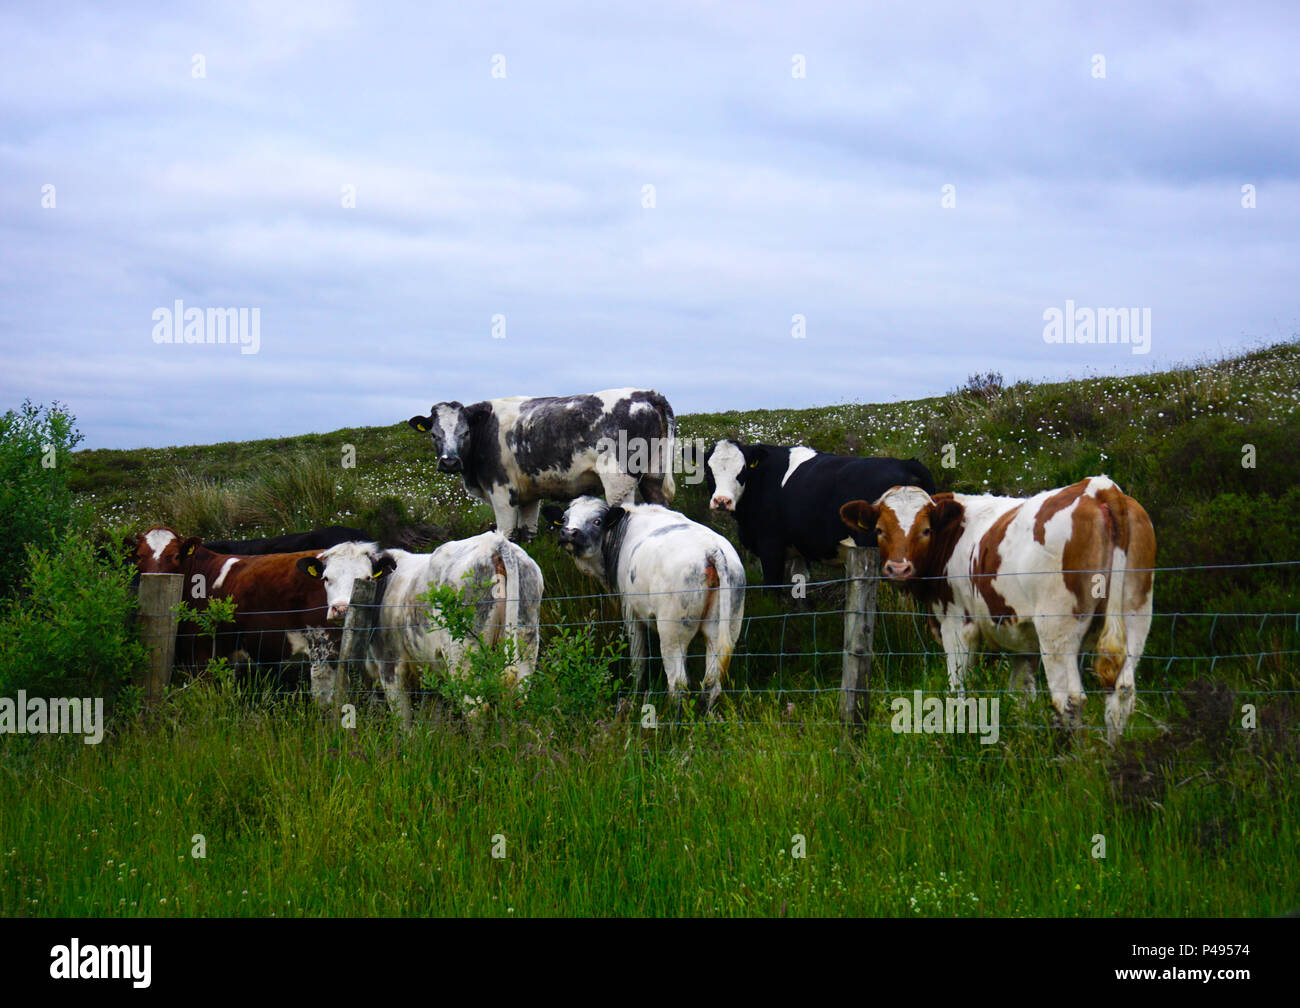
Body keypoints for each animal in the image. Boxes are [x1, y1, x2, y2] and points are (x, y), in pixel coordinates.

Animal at [297, 533, 543, 728]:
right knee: (517, 699)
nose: (341, 608)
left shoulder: (390, 666)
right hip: (526, 640)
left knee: (475, 708)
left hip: (463, 655)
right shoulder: (432, 673)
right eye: (326, 578)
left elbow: (404, 719)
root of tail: (495, 541)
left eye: (367, 578)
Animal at [407, 388, 676, 541]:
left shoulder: (501, 492)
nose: (450, 462)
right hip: (654, 474)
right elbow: (528, 535)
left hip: (619, 482)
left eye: (464, 432)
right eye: (434, 434)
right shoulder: (528, 495)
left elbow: (505, 535)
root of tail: (647, 394)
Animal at [543, 497, 745, 709]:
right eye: (564, 519)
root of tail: (712, 549)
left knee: (678, 682)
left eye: (597, 521)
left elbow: (638, 659)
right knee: (711, 683)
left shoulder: (630, 611)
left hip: (672, 631)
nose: (569, 533)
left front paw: (634, 695)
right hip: (724, 627)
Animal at [697, 440, 936, 590]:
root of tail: (906, 462)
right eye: (708, 471)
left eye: (743, 470)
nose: (722, 501)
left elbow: (773, 591)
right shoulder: (799, 550)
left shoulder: (770, 546)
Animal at [839, 476, 1155, 742]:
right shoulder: (1023, 641)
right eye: (880, 530)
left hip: (1057, 628)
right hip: (1136, 616)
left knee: (1070, 699)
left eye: (926, 530)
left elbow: (958, 691)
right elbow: (1021, 696)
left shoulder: (957, 624)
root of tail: (1099, 487)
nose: (898, 568)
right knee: (1121, 693)